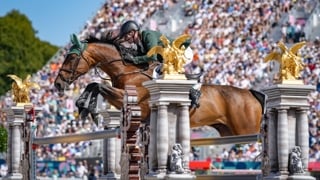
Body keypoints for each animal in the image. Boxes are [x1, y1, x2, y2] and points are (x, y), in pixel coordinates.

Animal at [54, 33, 264, 136]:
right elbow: (93, 84)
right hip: (228, 132)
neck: (129, 71)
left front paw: (87, 108)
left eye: (71, 57)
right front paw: (84, 106)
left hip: (246, 129)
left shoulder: (131, 100)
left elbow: (97, 85)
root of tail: (250, 93)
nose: (57, 84)